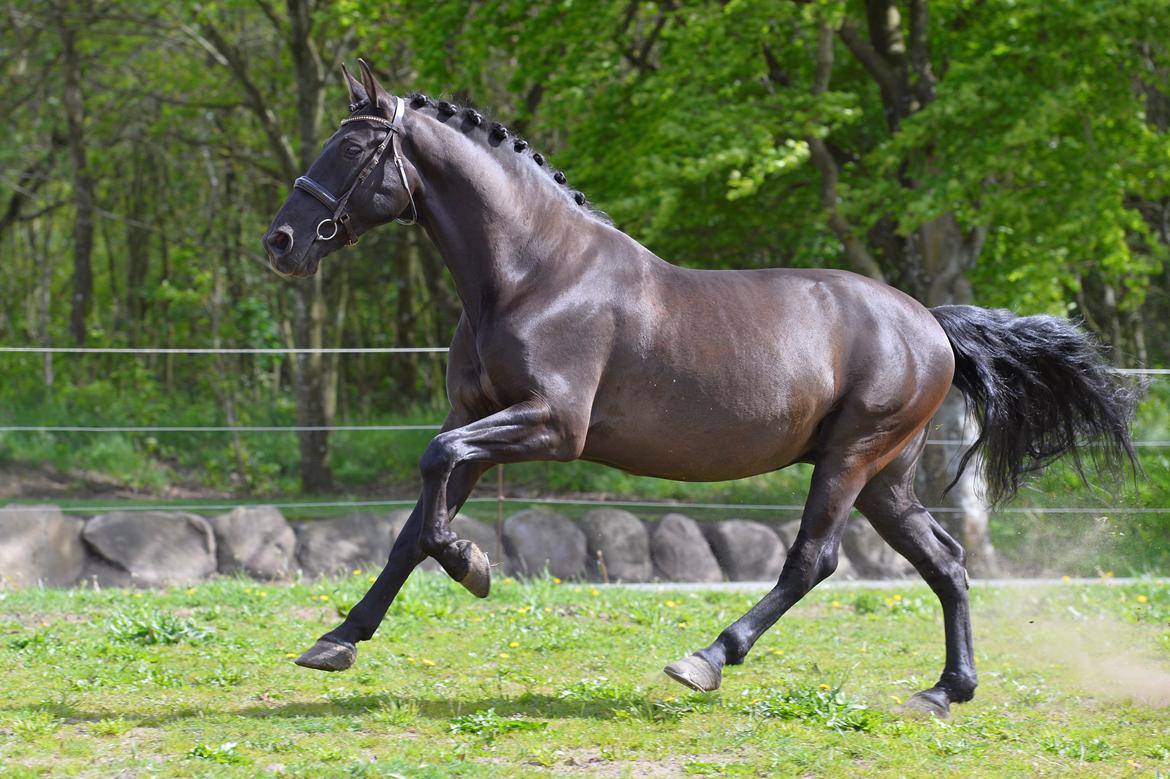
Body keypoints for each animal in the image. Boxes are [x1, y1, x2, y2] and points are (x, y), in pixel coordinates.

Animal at [263, 60, 1132, 715]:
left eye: (352, 146)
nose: (280, 241)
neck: (535, 273)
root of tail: (930, 323)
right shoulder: (479, 416)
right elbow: (414, 523)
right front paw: (338, 639)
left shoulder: (550, 424)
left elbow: (435, 469)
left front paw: (472, 564)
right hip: (887, 475)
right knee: (946, 560)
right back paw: (946, 691)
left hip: (852, 456)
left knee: (813, 560)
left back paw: (706, 658)